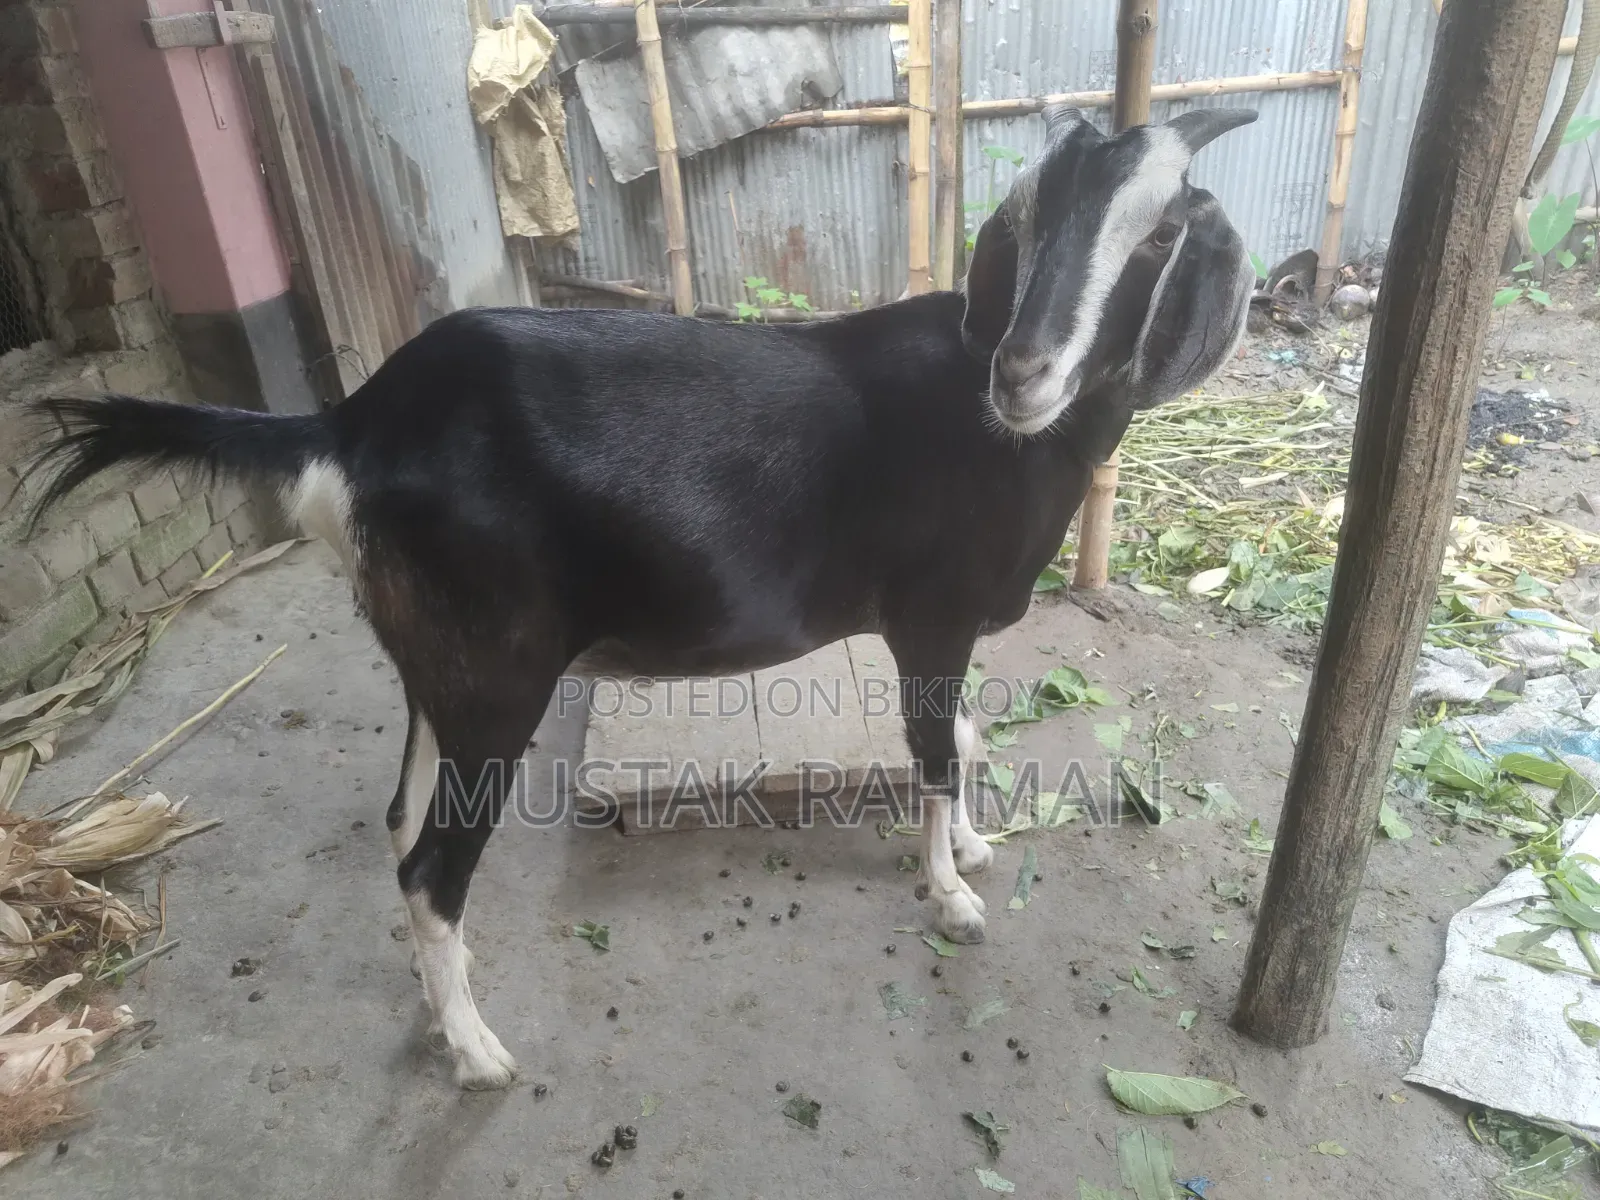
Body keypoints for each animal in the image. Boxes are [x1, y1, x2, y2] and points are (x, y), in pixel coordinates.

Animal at [23, 104, 1257, 1089]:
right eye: (1035, 218)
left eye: (1157, 231)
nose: (1023, 370)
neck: (1005, 439)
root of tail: (353, 424)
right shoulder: (929, 616)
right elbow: (935, 750)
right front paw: (951, 896)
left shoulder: (945, 629)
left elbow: (959, 735)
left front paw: (973, 853)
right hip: (497, 675)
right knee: (430, 864)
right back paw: (479, 1055)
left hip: (434, 668)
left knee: (399, 828)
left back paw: (441, 1003)